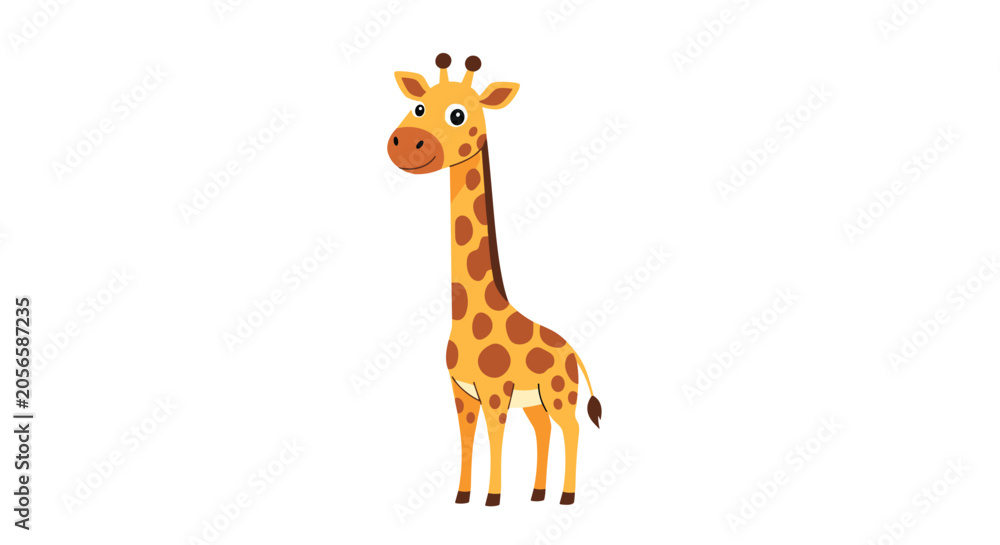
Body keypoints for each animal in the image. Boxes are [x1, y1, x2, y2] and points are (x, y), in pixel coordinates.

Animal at [386, 53, 602, 507]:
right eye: (419, 107)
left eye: (458, 114)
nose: (407, 142)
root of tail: (574, 353)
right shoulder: (460, 392)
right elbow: (467, 438)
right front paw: (463, 495)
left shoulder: (496, 391)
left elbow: (495, 435)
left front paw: (492, 497)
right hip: (537, 401)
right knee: (543, 429)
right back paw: (537, 493)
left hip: (560, 393)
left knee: (570, 428)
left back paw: (566, 496)